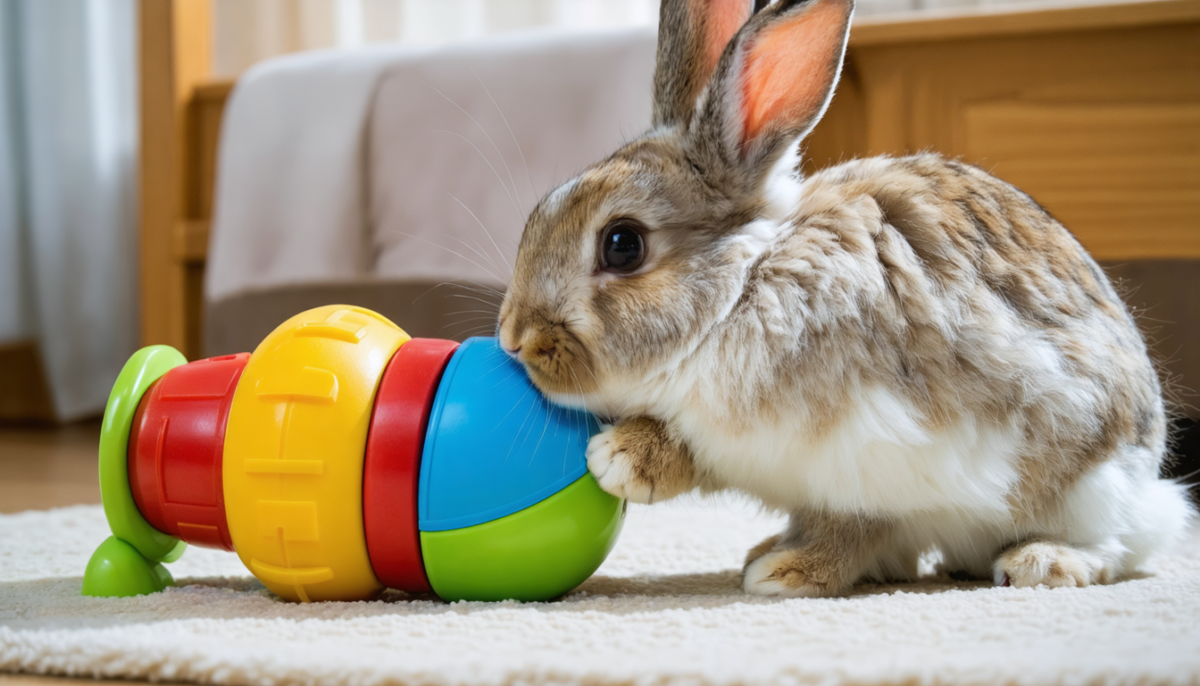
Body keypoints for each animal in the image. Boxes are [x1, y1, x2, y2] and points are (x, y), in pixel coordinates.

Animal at [496, 0, 1195, 596]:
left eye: (622, 245)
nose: (513, 338)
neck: (741, 289)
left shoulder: (873, 454)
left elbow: (854, 524)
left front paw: (784, 572)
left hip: (1091, 485)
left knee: (1121, 544)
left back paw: (1042, 562)